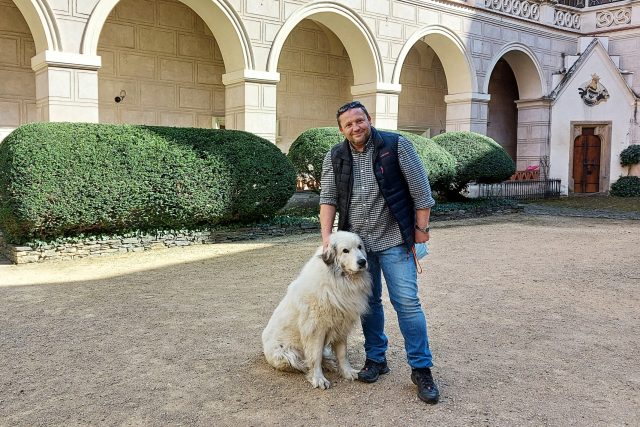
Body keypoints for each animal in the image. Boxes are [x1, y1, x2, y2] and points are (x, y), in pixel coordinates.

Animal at [260, 232, 370, 390]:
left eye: (360, 247)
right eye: (345, 250)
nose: (362, 262)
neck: (338, 280)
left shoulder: (341, 325)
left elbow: (342, 353)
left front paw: (348, 372)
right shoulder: (315, 330)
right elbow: (315, 356)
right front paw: (318, 378)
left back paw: (329, 363)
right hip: (285, 354)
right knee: (299, 362)